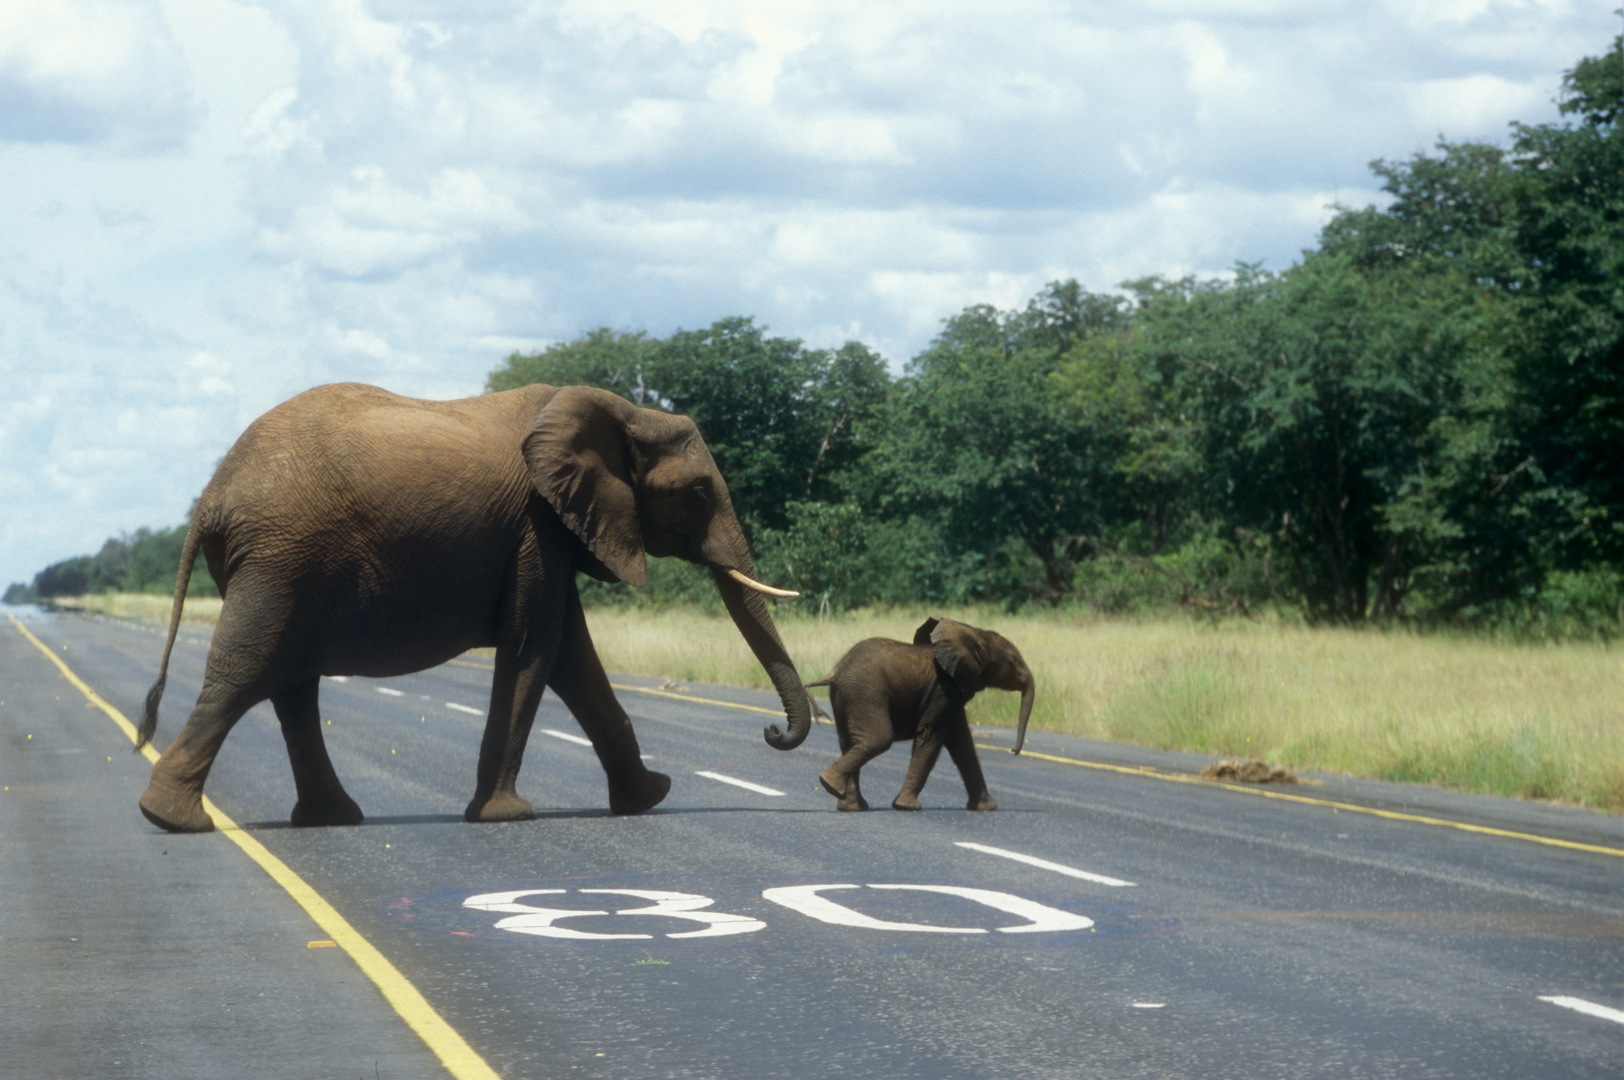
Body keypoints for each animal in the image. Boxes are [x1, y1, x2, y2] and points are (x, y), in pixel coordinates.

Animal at [136, 383, 808, 828]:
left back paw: (330, 818)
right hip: (282, 557)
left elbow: (572, 657)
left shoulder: (549, 530)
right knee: (249, 672)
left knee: (290, 684)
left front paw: (649, 798)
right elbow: (537, 645)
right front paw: (507, 817)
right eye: (697, 494)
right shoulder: (537, 525)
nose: (773, 731)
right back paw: (172, 819)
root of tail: (212, 495)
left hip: (279, 562)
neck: (625, 411)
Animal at [805, 613, 1032, 808]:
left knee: (849, 741)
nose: (1014, 751)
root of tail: (836, 671)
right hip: (865, 694)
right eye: (1012, 662)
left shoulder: (951, 693)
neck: (973, 632)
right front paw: (906, 806)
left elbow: (962, 742)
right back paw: (829, 784)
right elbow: (932, 736)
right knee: (878, 739)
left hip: (845, 697)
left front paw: (987, 808)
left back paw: (849, 804)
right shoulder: (943, 689)